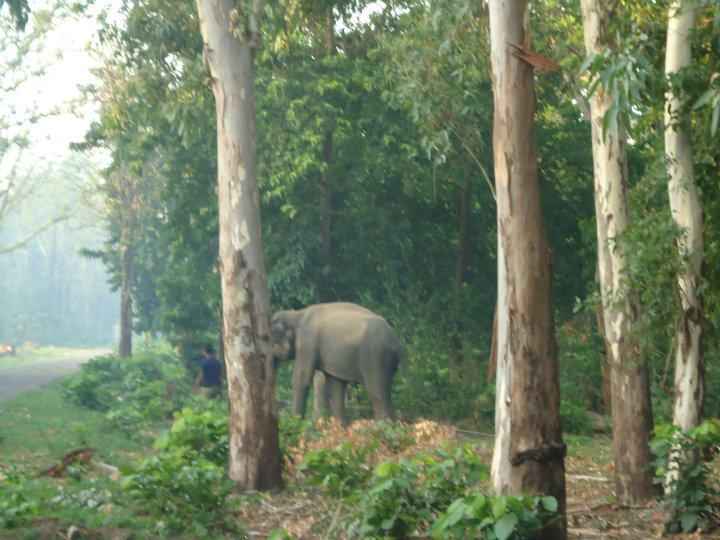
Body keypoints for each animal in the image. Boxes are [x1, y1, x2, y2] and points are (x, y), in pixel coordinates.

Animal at [271, 302, 403, 423]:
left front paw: (296, 423)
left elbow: (301, 378)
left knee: (376, 392)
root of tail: (396, 342)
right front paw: (341, 428)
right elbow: (335, 386)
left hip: (375, 355)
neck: (296, 314)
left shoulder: (307, 342)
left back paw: (382, 426)